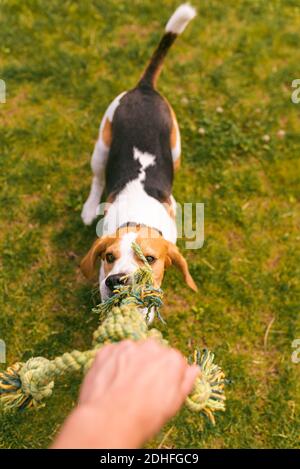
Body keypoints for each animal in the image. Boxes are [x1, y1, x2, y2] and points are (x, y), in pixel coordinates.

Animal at [80, 3, 197, 304]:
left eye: (150, 259)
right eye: (109, 257)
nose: (115, 281)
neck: (138, 219)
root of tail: (144, 88)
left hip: (176, 149)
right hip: (101, 146)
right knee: (97, 178)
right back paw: (89, 208)